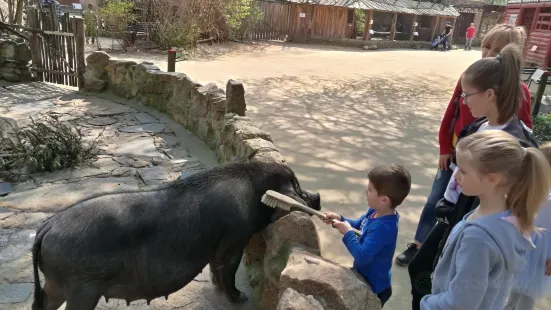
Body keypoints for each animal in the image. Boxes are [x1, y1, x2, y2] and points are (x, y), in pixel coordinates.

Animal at [32, 161, 322, 310]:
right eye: (296, 186)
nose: (317, 196)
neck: (254, 193)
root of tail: (47, 227)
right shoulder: (234, 239)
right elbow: (227, 270)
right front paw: (240, 299)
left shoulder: (217, 247)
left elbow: (215, 270)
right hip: (81, 289)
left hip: (56, 284)